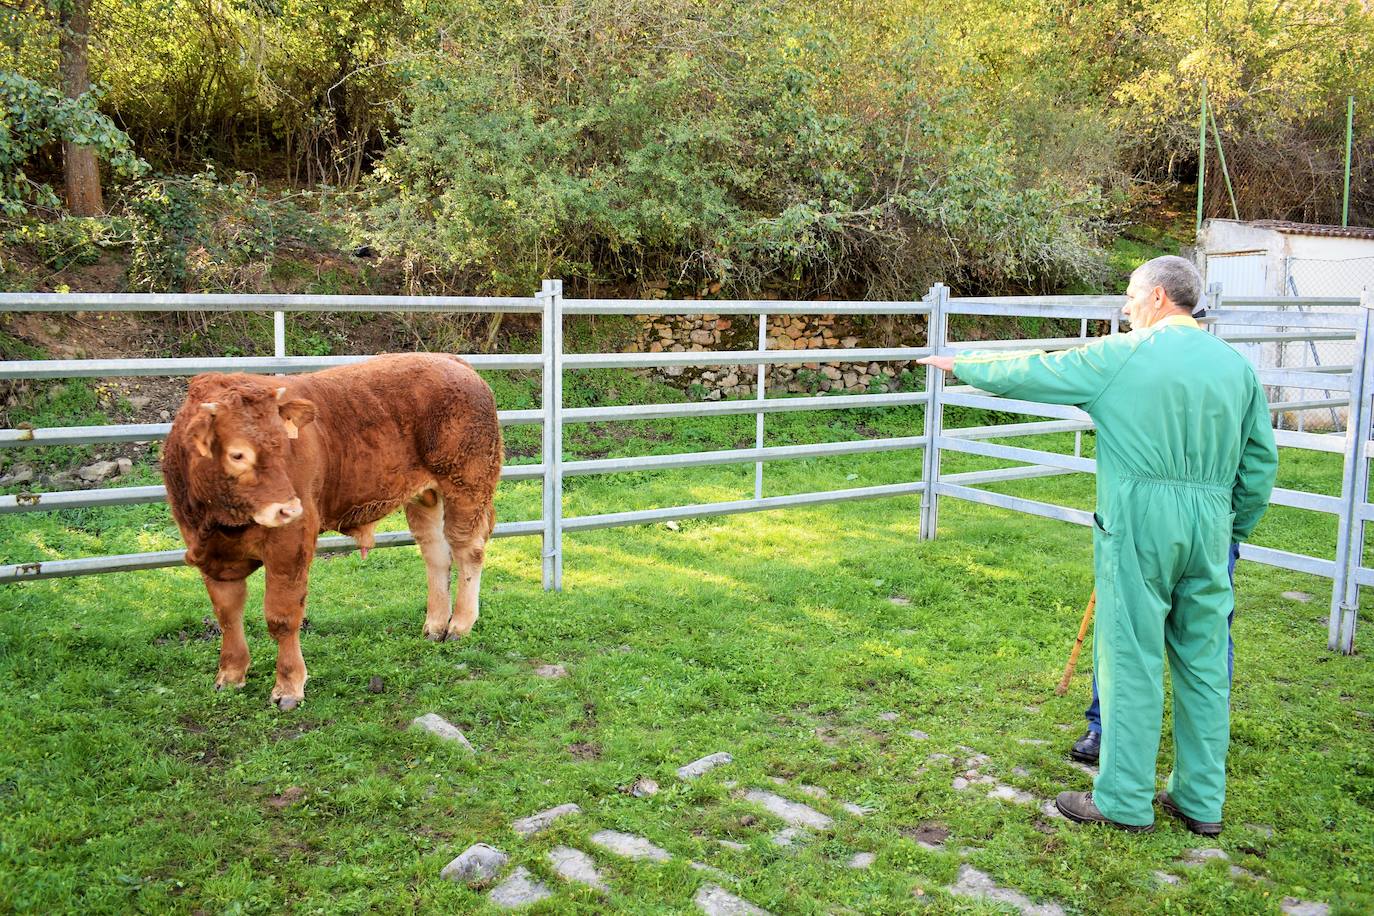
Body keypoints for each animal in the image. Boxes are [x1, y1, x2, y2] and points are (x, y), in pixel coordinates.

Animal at [162, 354, 505, 714]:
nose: (289, 509)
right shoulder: (210, 555)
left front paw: (288, 687)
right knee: (436, 553)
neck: (221, 521)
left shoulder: (291, 545)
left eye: (284, 447)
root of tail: (454, 362)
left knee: (468, 550)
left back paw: (459, 625)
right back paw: (435, 625)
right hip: (425, 497)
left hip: (467, 484)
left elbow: (282, 617)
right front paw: (230, 675)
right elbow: (227, 614)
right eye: (237, 453)